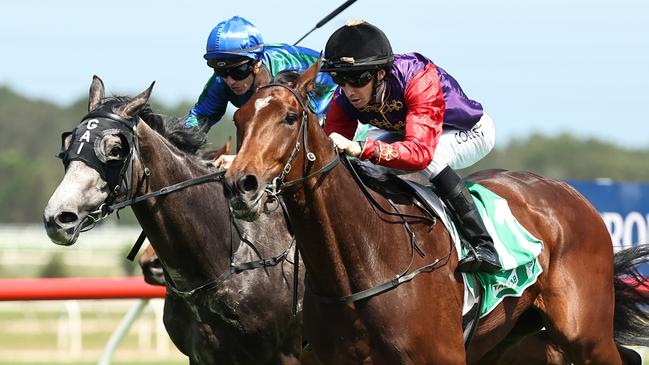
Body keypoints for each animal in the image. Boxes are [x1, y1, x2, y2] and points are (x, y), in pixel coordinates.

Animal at [223, 63, 648, 364]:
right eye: (239, 119)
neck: (361, 261)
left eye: (290, 117)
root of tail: (571, 194)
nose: (240, 183)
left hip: (584, 335)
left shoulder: (441, 356)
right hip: (512, 339)